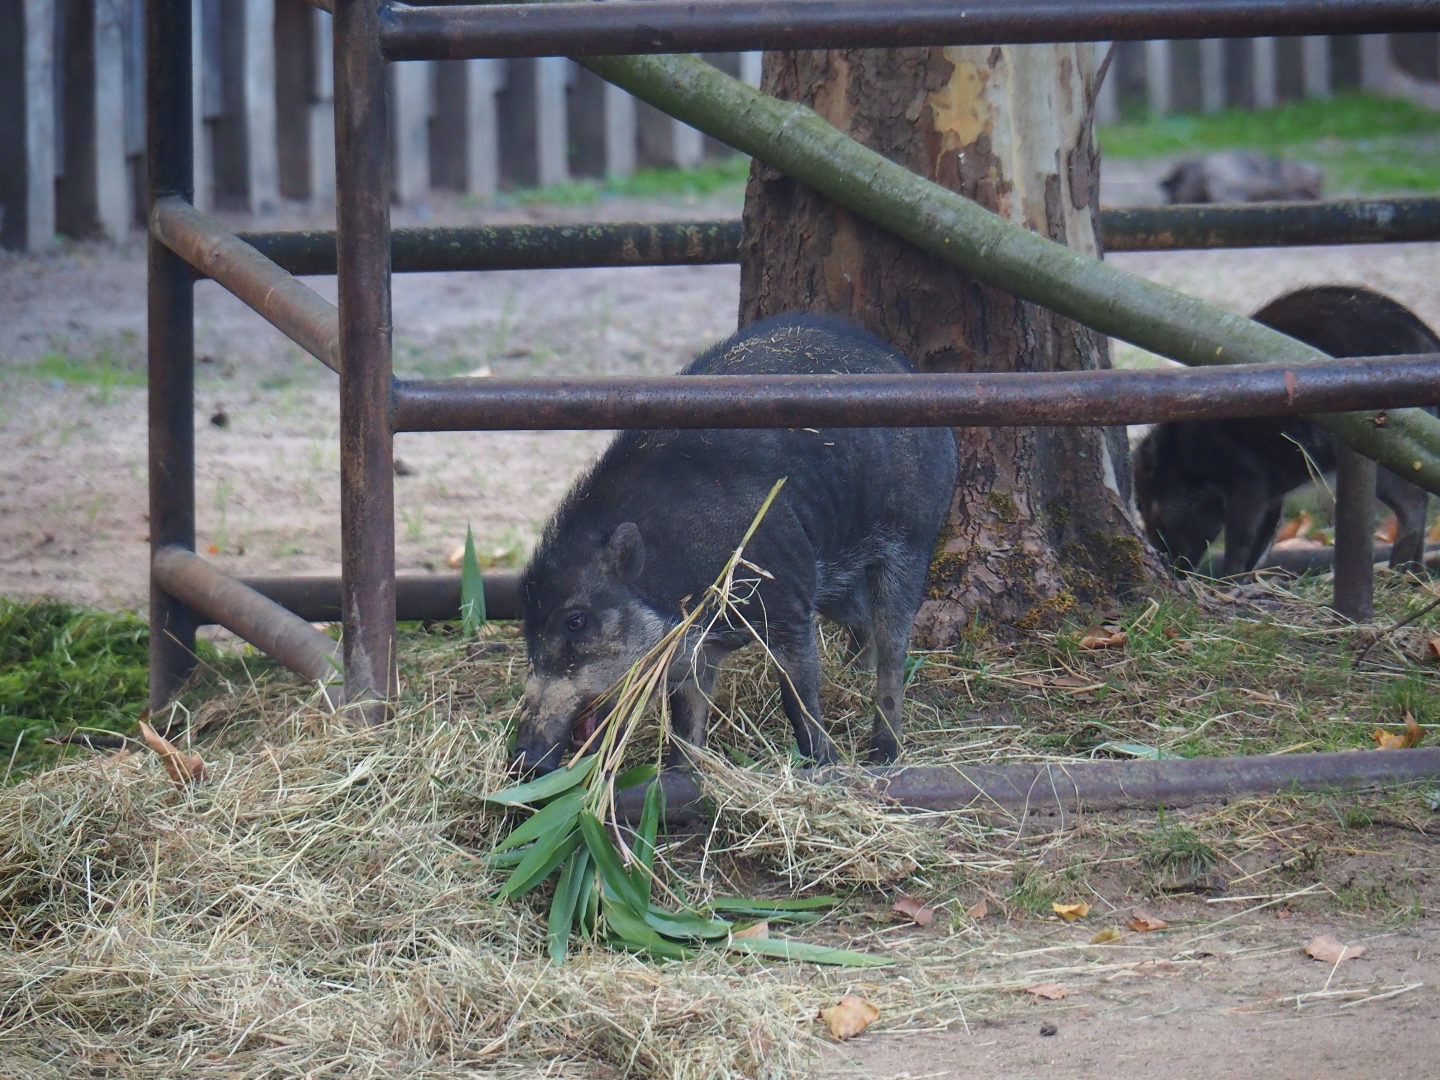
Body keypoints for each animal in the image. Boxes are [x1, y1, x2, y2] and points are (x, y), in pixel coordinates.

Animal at [512, 313, 959, 774]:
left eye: (575, 621)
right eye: (527, 625)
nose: (524, 760)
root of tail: (906, 369)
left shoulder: (787, 600)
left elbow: (797, 697)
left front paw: (824, 766)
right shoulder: (698, 651)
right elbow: (686, 720)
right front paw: (680, 775)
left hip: (911, 538)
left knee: (893, 642)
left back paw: (883, 753)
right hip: (838, 579)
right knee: (862, 624)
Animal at [1134, 285, 1436, 577]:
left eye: (1149, 507)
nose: (1169, 566)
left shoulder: (1248, 480)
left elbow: (1241, 540)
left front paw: (1227, 581)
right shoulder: (1271, 492)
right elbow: (1263, 539)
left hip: (1385, 447)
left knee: (1414, 502)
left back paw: (1400, 573)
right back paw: (1414, 577)